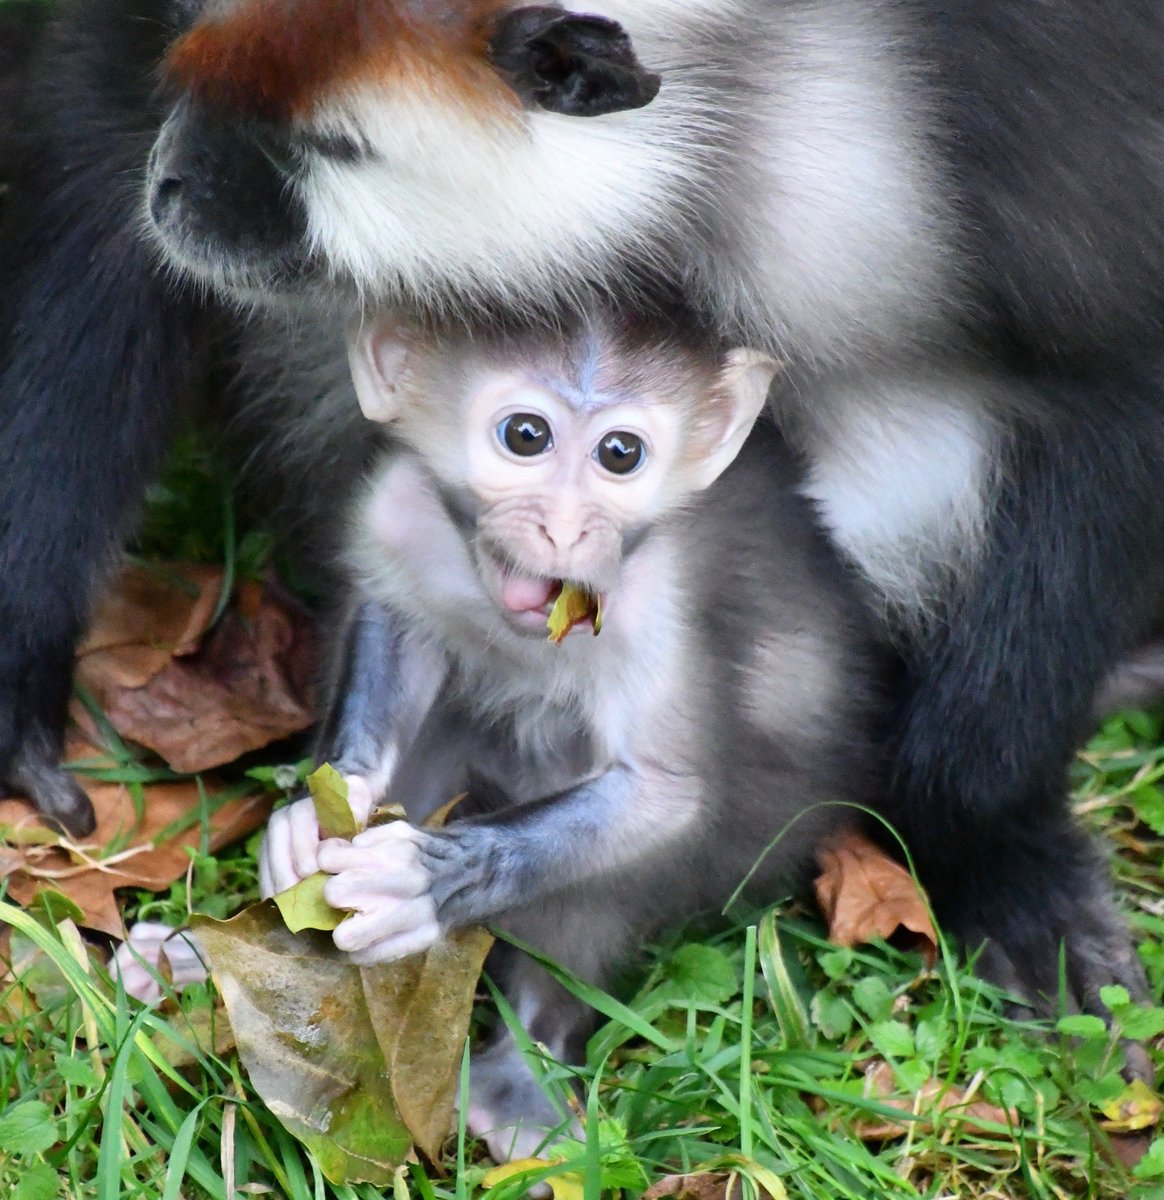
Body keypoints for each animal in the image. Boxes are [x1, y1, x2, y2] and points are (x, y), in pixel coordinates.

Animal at [2, 0, 1163, 1010]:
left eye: (329, 150)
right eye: (200, 83)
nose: (173, 186)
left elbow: (1113, 392)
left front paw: (991, 841)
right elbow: (92, 133)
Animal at [245, 312, 884, 1160]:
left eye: (621, 454)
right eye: (526, 436)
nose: (564, 528)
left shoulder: (654, 604)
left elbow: (661, 795)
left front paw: (429, 878)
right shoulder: (401, 511)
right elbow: (397, 621)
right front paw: (322, 807)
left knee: (594, 897)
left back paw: (528, 1068)